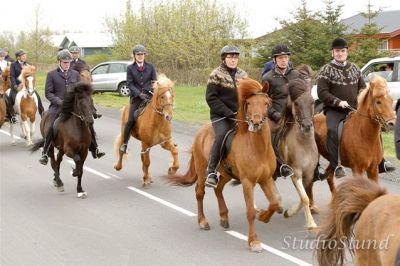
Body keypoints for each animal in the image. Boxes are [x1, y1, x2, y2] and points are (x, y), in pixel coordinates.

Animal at [166, 78, 278, 251]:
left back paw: (224, 217)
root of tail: (201, 132)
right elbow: (250, 212)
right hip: (202, 170)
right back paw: (203, 221)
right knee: (200, 193)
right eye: (249, 103)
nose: (256, 122)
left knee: (218, 189)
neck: (258, 148)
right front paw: (253, 241)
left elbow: (275, 202)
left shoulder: (266, 179)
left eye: (266, 103)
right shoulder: (248, 182)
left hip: (226, 173)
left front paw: (264, 216)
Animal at [276, 77, 318, 229]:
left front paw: (289, 212)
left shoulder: (309, 174)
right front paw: (311, 224)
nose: (307, 126)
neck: (304, 145)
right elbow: (305, 198)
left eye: (312, 102)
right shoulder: (295, 173)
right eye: (297, 103)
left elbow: (304, 196)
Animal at [308, 75, 396, 204]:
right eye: (378, 101)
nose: (392, 124)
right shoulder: (357, 169)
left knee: (329, 177)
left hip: (333, 161)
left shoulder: (373, 170)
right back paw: (311, 205)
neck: (364, 135)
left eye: (391, 100)